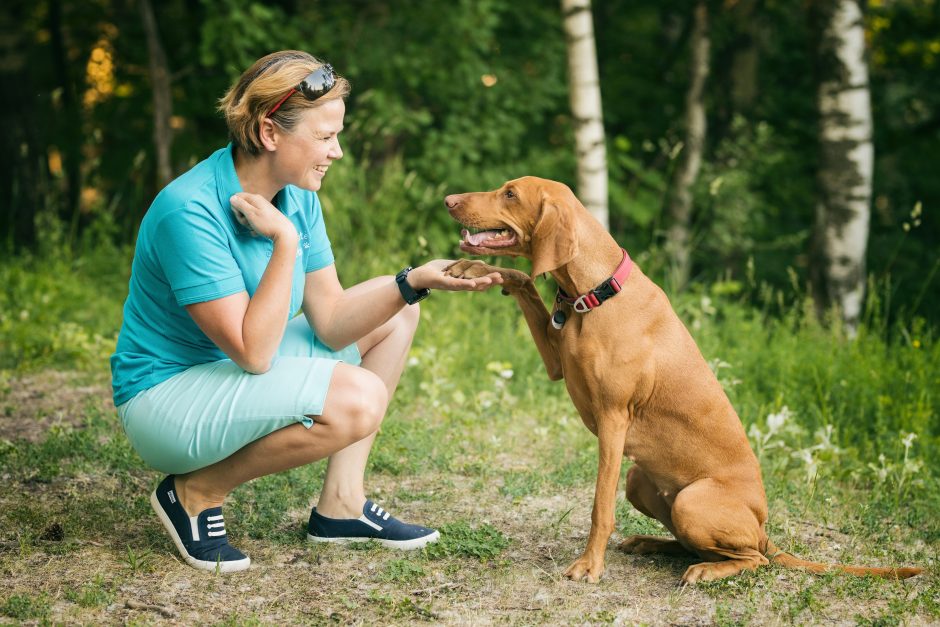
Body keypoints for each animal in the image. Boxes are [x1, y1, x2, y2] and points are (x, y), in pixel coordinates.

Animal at [444, 175, 920, 584]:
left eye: (510, 194)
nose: (449, 200)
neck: (595, 291)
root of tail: (764, 527)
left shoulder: (613, 419)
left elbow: (600, 507)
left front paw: (589, 565)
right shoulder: (557, 364)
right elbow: (521, 278)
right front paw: (469, 269)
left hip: (691, 501)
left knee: (753, 559)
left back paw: (707, 571)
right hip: (640, 480)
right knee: (694, 544)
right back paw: (650, 543)